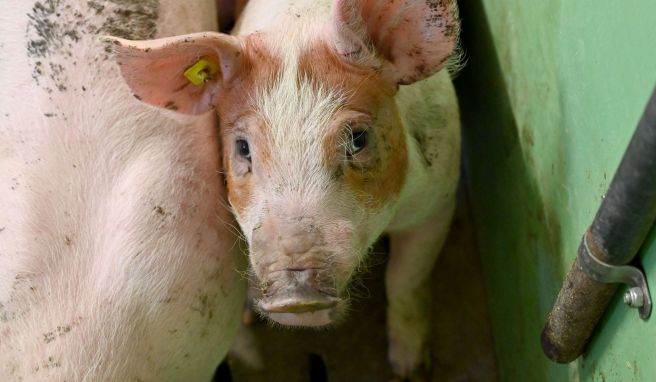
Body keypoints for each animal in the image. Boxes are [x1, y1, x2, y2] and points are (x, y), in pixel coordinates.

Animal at [109, 0, 462, 376]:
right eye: (243, 148)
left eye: (358, 139)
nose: (295, 296)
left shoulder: (439, 196)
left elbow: (405, 279)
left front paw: (410, 371)